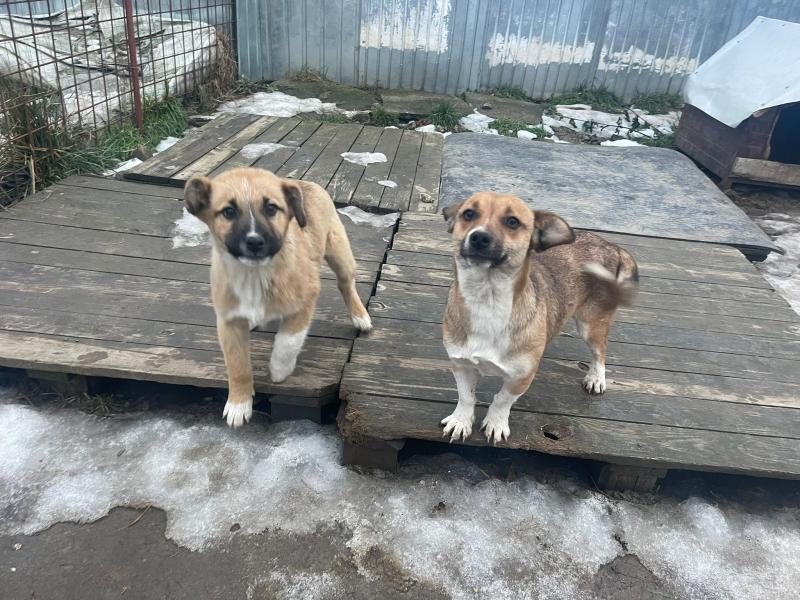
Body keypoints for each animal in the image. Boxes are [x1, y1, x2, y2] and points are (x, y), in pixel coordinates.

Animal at [184, 167, 372, 427]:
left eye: (271, 208)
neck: (255, 274)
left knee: (346, 284)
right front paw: (238, 403)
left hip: (339, 251)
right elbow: (237, 365)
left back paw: (360, 316)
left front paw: (279, 370)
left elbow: (287, 341)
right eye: (228, 211)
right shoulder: (228, 321)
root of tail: (306, 183)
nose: (254, 241)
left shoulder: (305, 300)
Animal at [440, 192, 638, 444]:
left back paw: (596, 378)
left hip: (591, 324)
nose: (479, 237)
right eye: (468, 214)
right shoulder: (461, 364)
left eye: (512, 221)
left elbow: (501, 400)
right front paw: (461, 421)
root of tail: (612, 245)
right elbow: (466, 396)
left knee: (600, 352)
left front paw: (496, 423)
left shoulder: (521, 378)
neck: (487, 300)